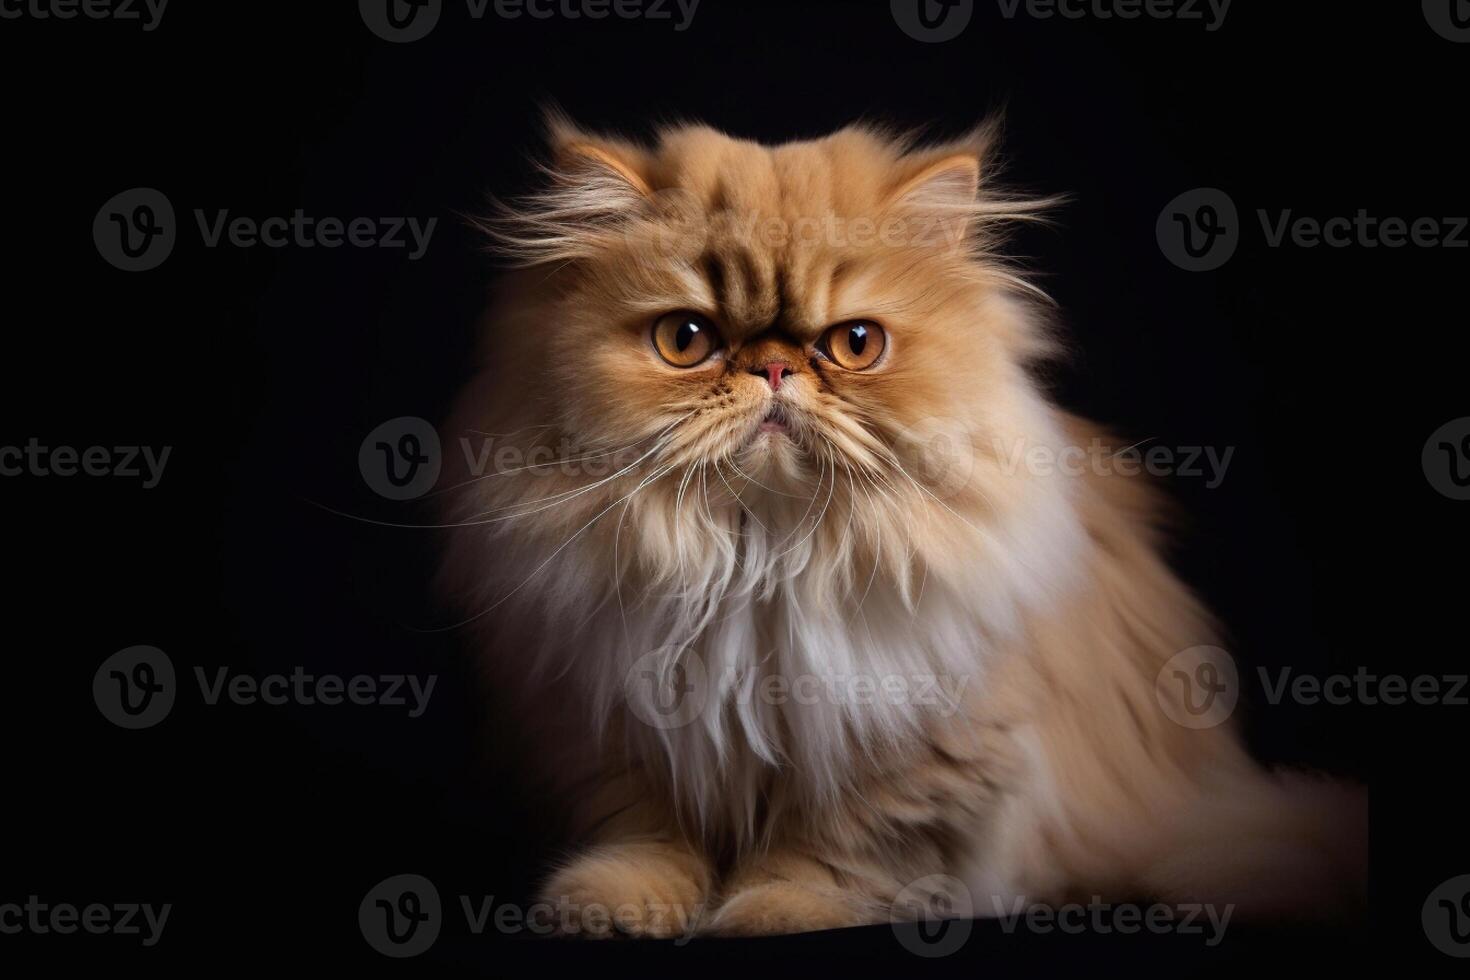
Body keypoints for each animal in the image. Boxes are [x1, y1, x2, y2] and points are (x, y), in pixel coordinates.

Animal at [438, 110, 1364, 940]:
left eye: (854, 344)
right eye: (687, 338)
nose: (774, 368)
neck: (758, 554)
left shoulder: (917, 741)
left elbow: (838, 847)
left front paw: (777, 910)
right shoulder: (610, 719)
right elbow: (646, 831)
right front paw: (613, 905)